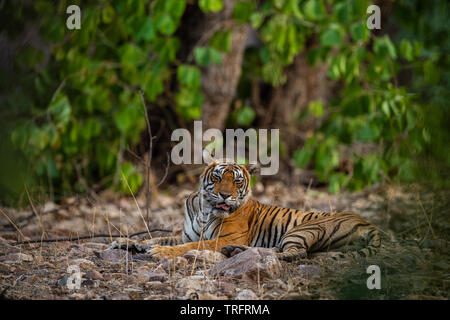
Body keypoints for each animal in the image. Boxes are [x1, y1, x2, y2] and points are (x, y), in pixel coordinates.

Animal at [109, 156, 380, 262]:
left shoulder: (222, 238)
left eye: (237, 181)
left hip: (303, 229)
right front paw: (125, 243)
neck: (205, 210)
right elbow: (156, 237)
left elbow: (186, 246)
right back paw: (236, 252)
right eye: (218, 177)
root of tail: (369, 223)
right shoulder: (185, 234)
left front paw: (158, 253)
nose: (225, 195)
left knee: (294, 254)